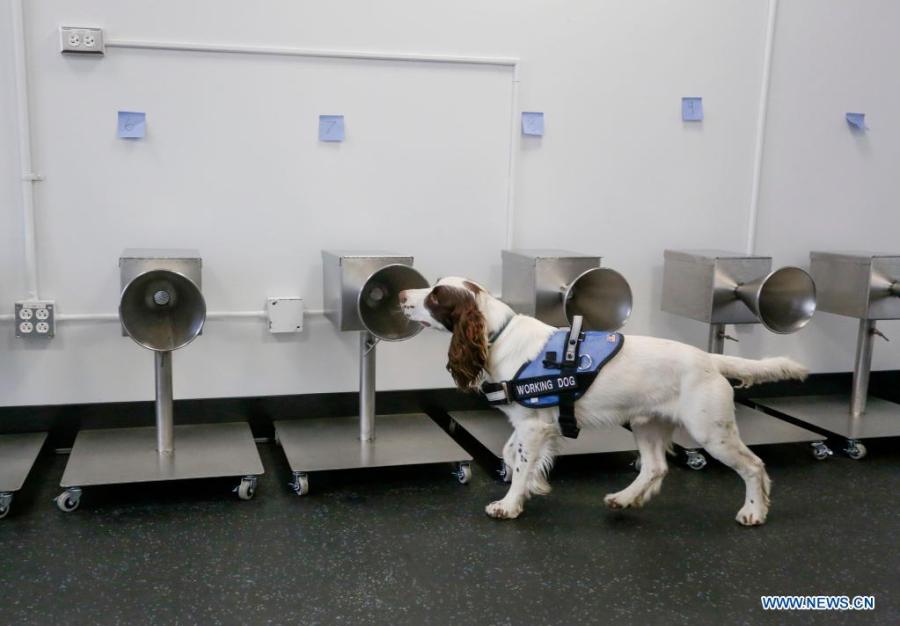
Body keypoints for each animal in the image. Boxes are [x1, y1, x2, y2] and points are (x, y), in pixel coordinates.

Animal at [399, 277, 808, 525]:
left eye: (436, 295)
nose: (402, 296)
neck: (498, 335)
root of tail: (710, 359)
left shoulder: (534, 424)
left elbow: (519, 461)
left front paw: (510, 504)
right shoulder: (530, 422)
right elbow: (510, 452)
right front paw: (535, 485)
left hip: (711, 432)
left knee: (754, 466)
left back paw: (754, 512)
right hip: (647, 423)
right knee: (655, 467)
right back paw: (624, 500)